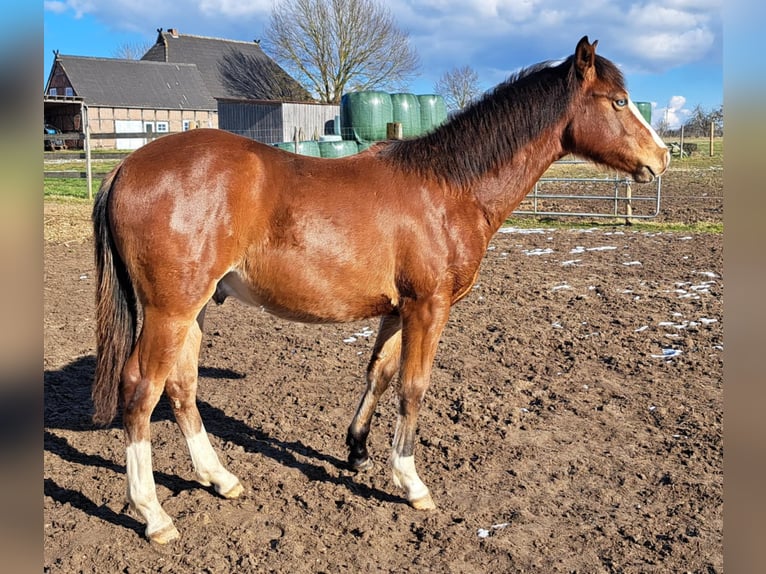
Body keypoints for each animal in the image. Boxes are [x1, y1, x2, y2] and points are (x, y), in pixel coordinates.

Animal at [90, 37, 668, 544]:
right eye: (619, 101)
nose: (661, 157)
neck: (447, 189)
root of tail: (127, 165)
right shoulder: (429, 309)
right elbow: (413, 387)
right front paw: (411, 482)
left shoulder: (398, 311)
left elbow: (380, 375)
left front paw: (357, 452)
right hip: (169, 310)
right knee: (141, 391)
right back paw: (154, 515)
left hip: (195, 309)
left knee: (182, 388)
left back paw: (221, 479)